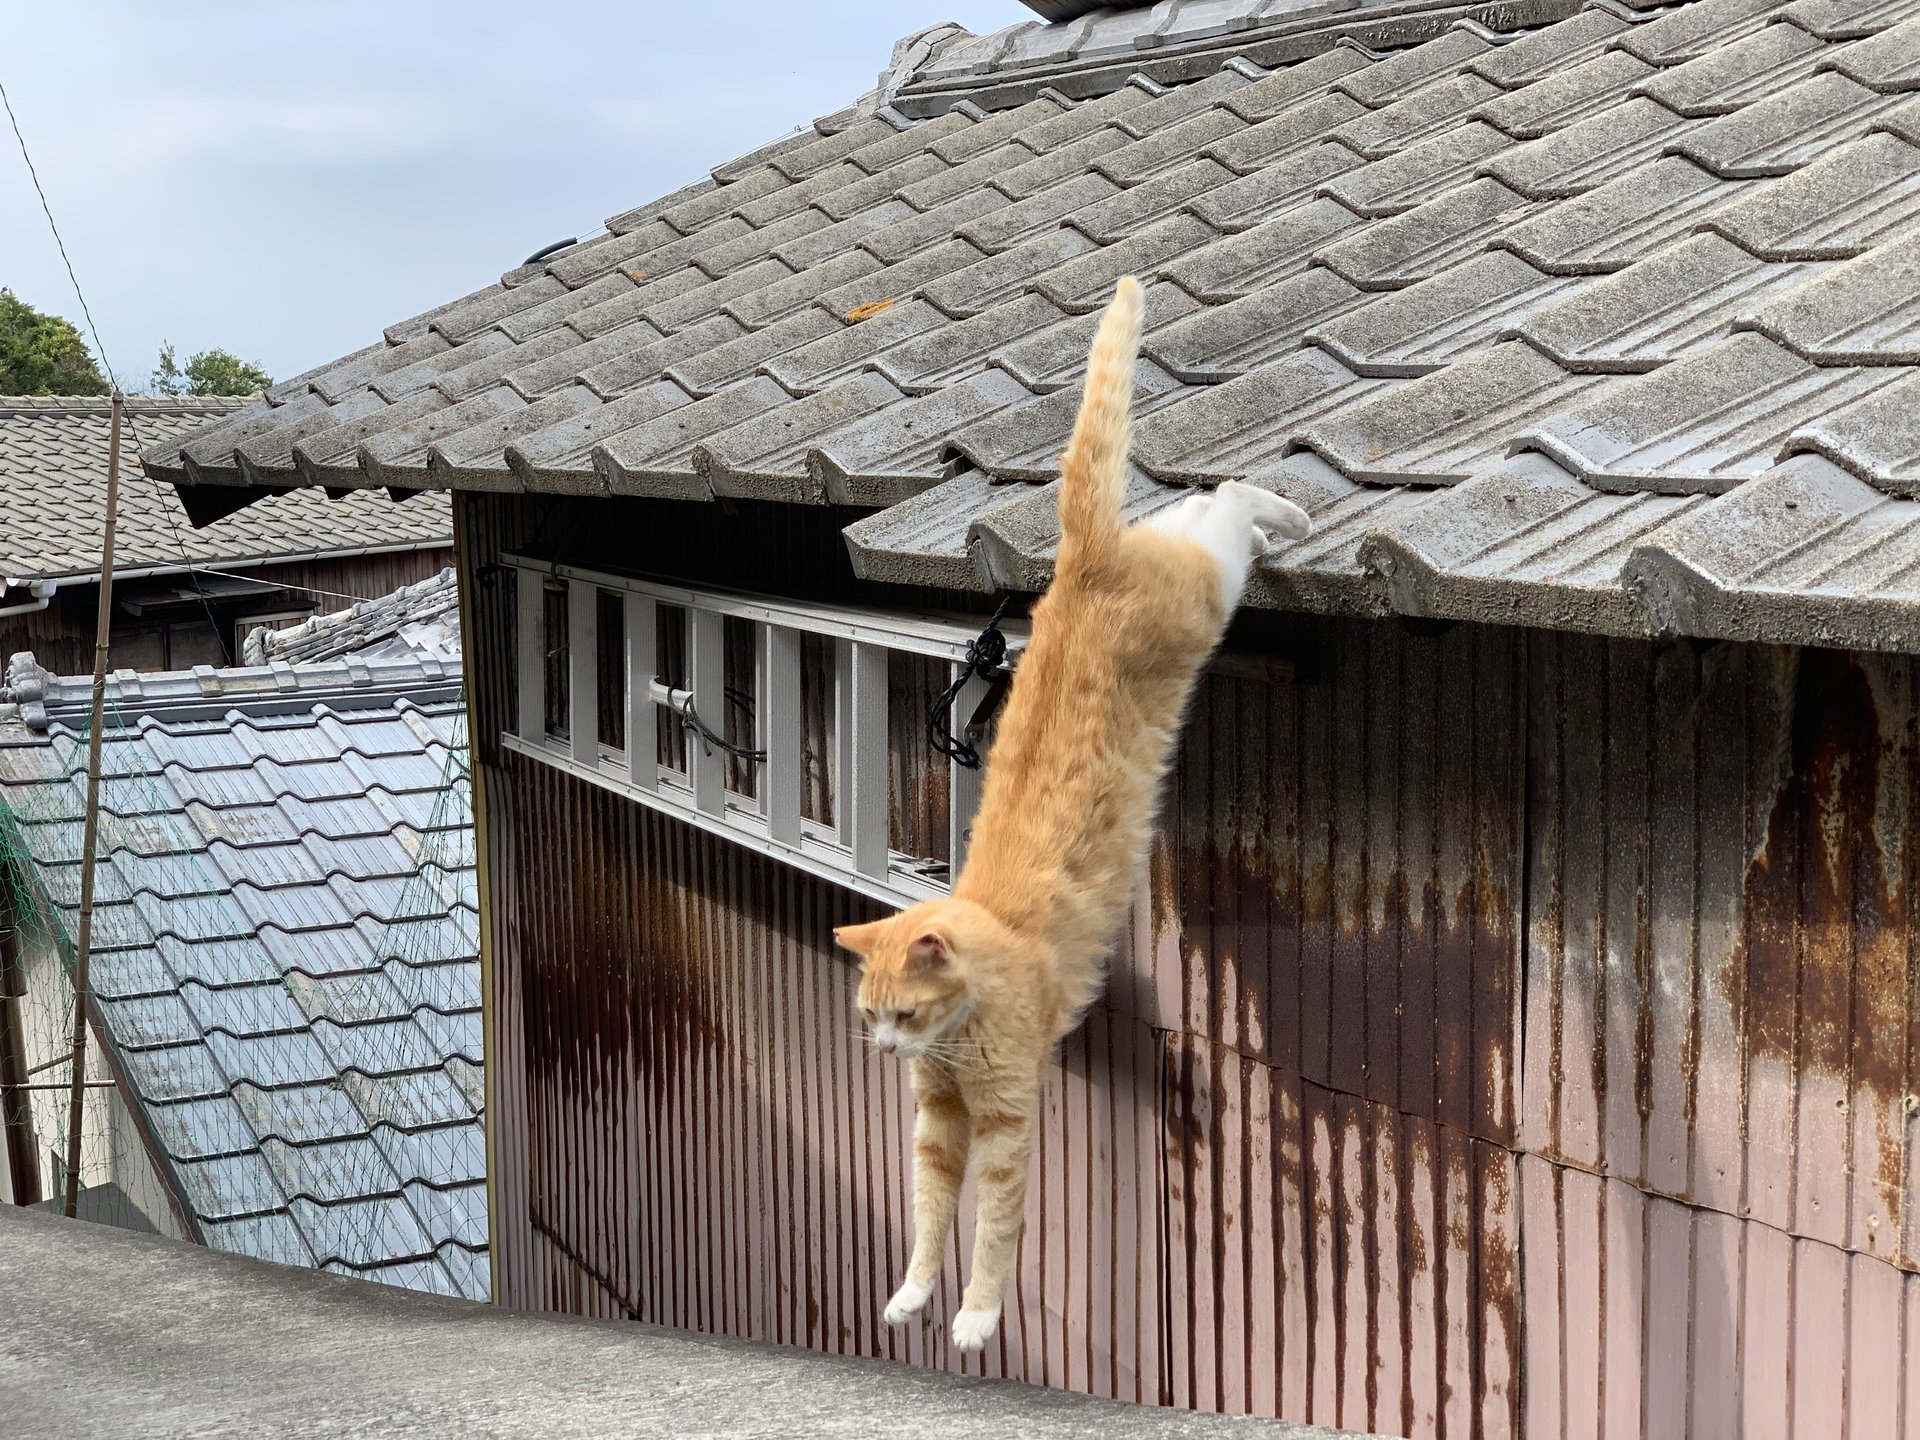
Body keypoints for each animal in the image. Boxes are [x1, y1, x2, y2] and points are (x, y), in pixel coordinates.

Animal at [833, 272, 1313, 1351]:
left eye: (902, 1013)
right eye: (872, 1017)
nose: (880, 1051)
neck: (955, 1035)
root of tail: (1081, 561)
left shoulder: (1007, 1122)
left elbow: (995, 1231)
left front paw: (973, 1319)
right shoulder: (936, 1127)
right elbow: (929, 1216)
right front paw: (912, 1296)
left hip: (1206, 591)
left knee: (1227, 499)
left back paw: (1293, 511)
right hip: (1186, 563)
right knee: (1197, 500)